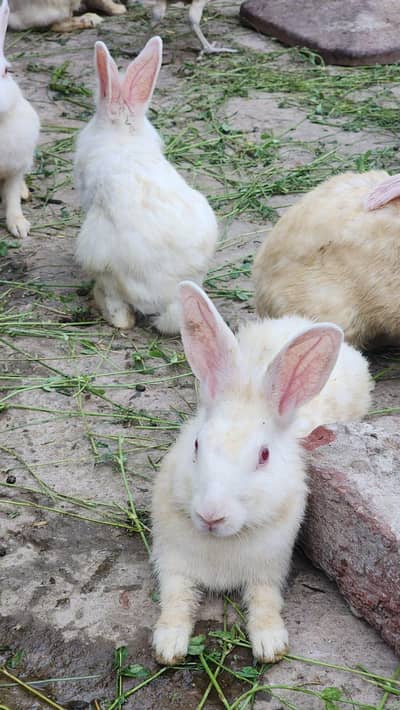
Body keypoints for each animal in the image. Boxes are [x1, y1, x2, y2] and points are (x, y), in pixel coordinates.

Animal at [151, 282, 373, 665]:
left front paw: (270, 645)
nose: (211, 515)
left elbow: (266, 602)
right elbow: (176, 600)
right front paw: (168, 646)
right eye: (196, 444)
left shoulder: (270, 571)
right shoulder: (173, 565)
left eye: (264, 456)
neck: (222, 542)